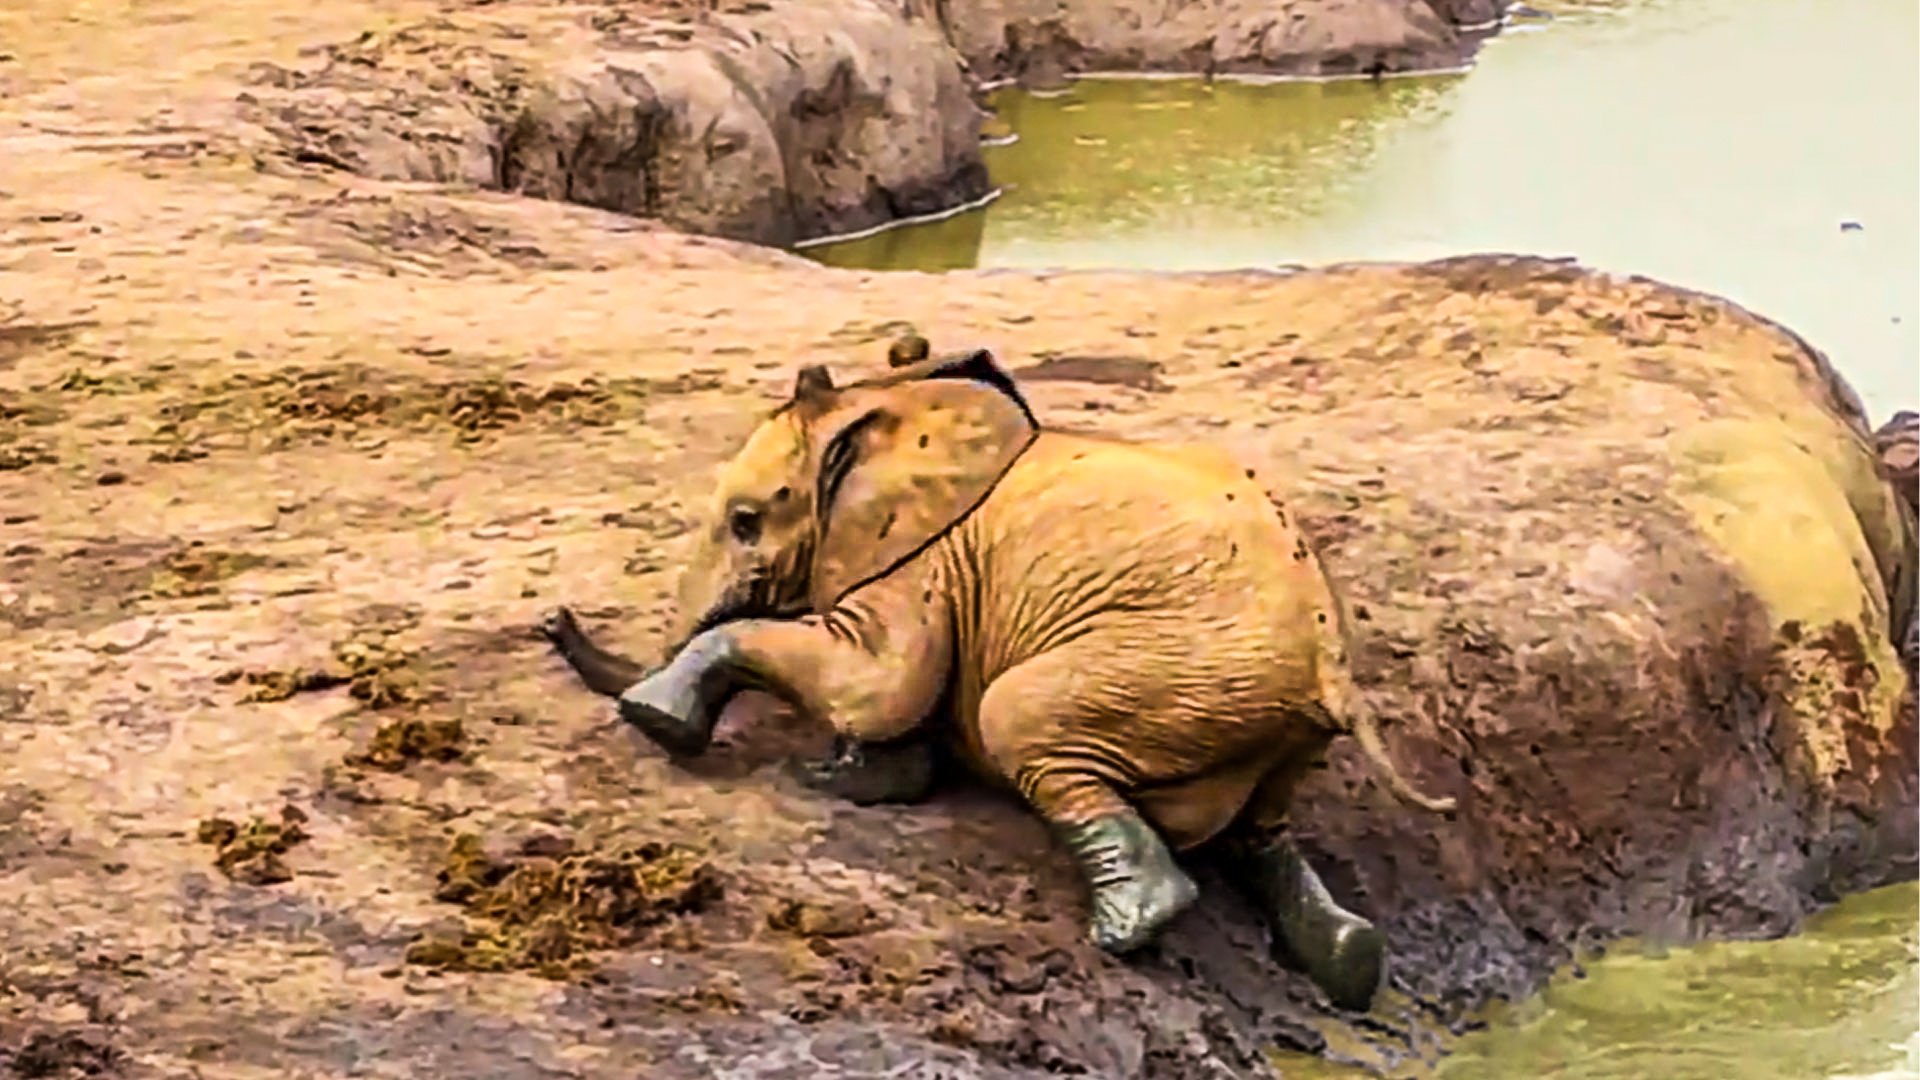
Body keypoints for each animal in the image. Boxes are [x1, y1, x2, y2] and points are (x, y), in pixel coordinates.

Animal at [541, 342, 1457, 1012]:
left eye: (744, 521)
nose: (552, 619)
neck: (890, 404)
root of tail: (1330, 671)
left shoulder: (923, 563)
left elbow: (878, 685)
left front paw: (662, 720)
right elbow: (882, 699)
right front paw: (842, 778)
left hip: (1177, 670)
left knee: (1016, 717)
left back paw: (1125, 931)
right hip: (1265, 722)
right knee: (1264, 827)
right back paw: (1349, 961)